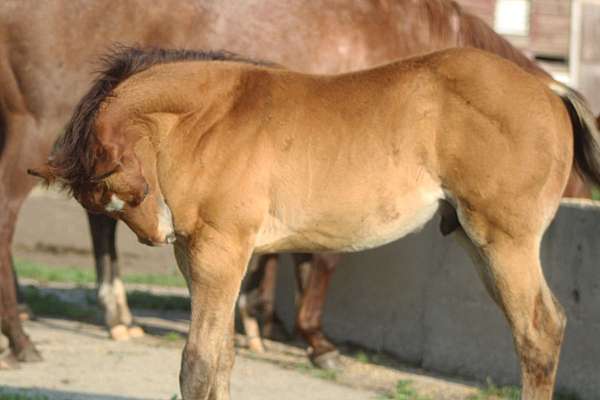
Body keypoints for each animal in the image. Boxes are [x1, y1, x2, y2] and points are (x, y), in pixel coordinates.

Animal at [0, 0, 592, 368]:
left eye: (126, 196)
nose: (154, 234)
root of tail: (552, 92)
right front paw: (293, 334)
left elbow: (224, 332)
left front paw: (283, 331)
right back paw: (27, 334)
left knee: (540, 329)